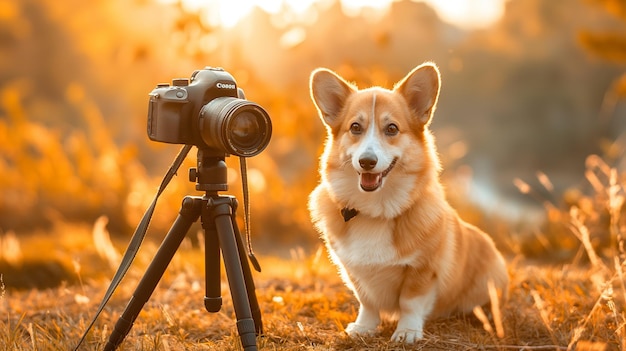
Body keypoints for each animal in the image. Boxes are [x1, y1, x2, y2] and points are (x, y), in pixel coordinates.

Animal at [308, 63, 508, 344]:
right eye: (355, 127)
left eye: (392, 129)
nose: (367, 162)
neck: (376, 211)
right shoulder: (355, 272)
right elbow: (367, 301)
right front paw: (364, 328)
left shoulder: (423, 270)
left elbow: (410, 303)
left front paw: (407, 332)